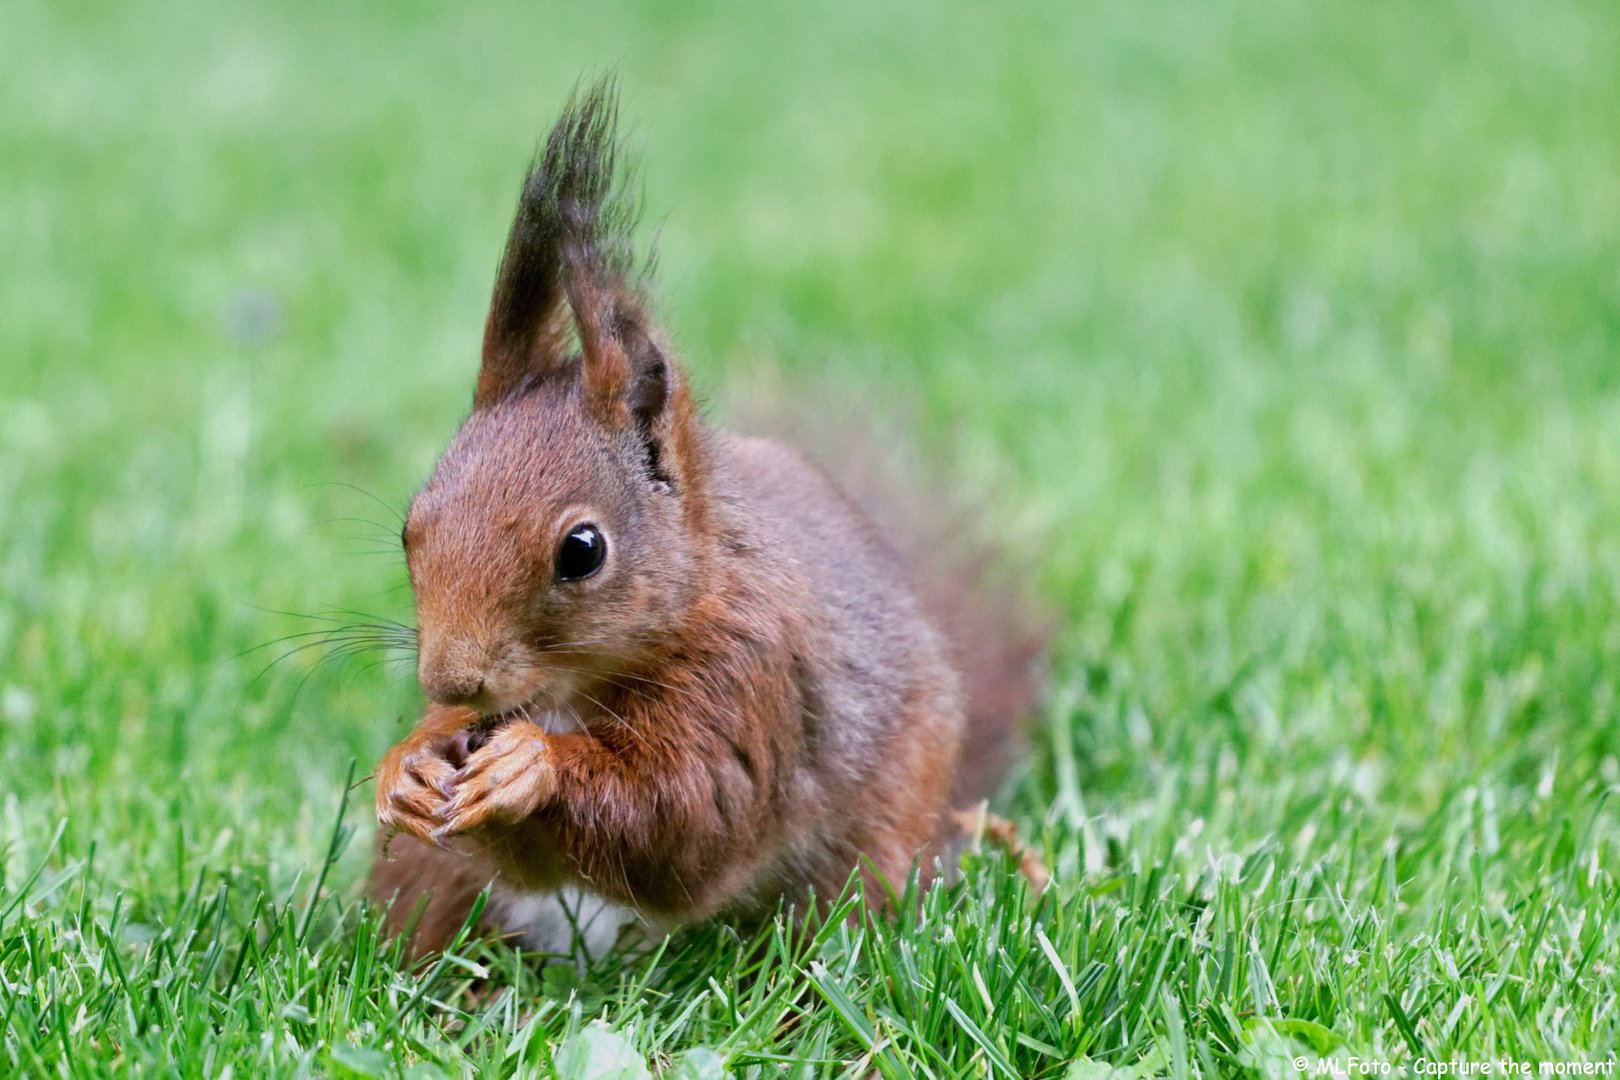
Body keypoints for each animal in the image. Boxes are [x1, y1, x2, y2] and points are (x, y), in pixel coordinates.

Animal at [369, 78, 1049, 952]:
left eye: (582, 550)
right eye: (410, 529)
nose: (451, 679)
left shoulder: (748, 674)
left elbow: (686, 817)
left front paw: (533, 766)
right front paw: (406, 767)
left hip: (866, 854)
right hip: (437, 883)